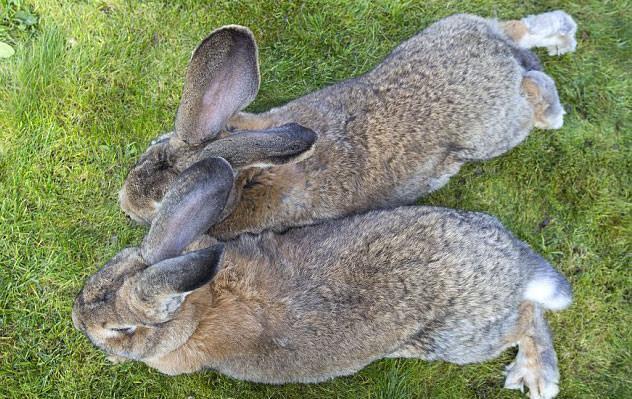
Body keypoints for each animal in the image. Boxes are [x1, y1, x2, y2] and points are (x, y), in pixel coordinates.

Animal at [75, 158, 572, 398]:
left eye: (120, 328)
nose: (79, 323)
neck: (201, 302)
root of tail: (515, 263)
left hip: (460, 339)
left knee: (528, 318)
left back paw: (538, 378)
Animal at [118, 10, 576, 239]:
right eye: (151, 148)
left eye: (163, 202)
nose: (124, 204)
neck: (247, 175)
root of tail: (501, 57)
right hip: (462, 28)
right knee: (518, 29)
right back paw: (562, 37)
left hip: (497, 131)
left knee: (533, 90)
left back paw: (553, 110)